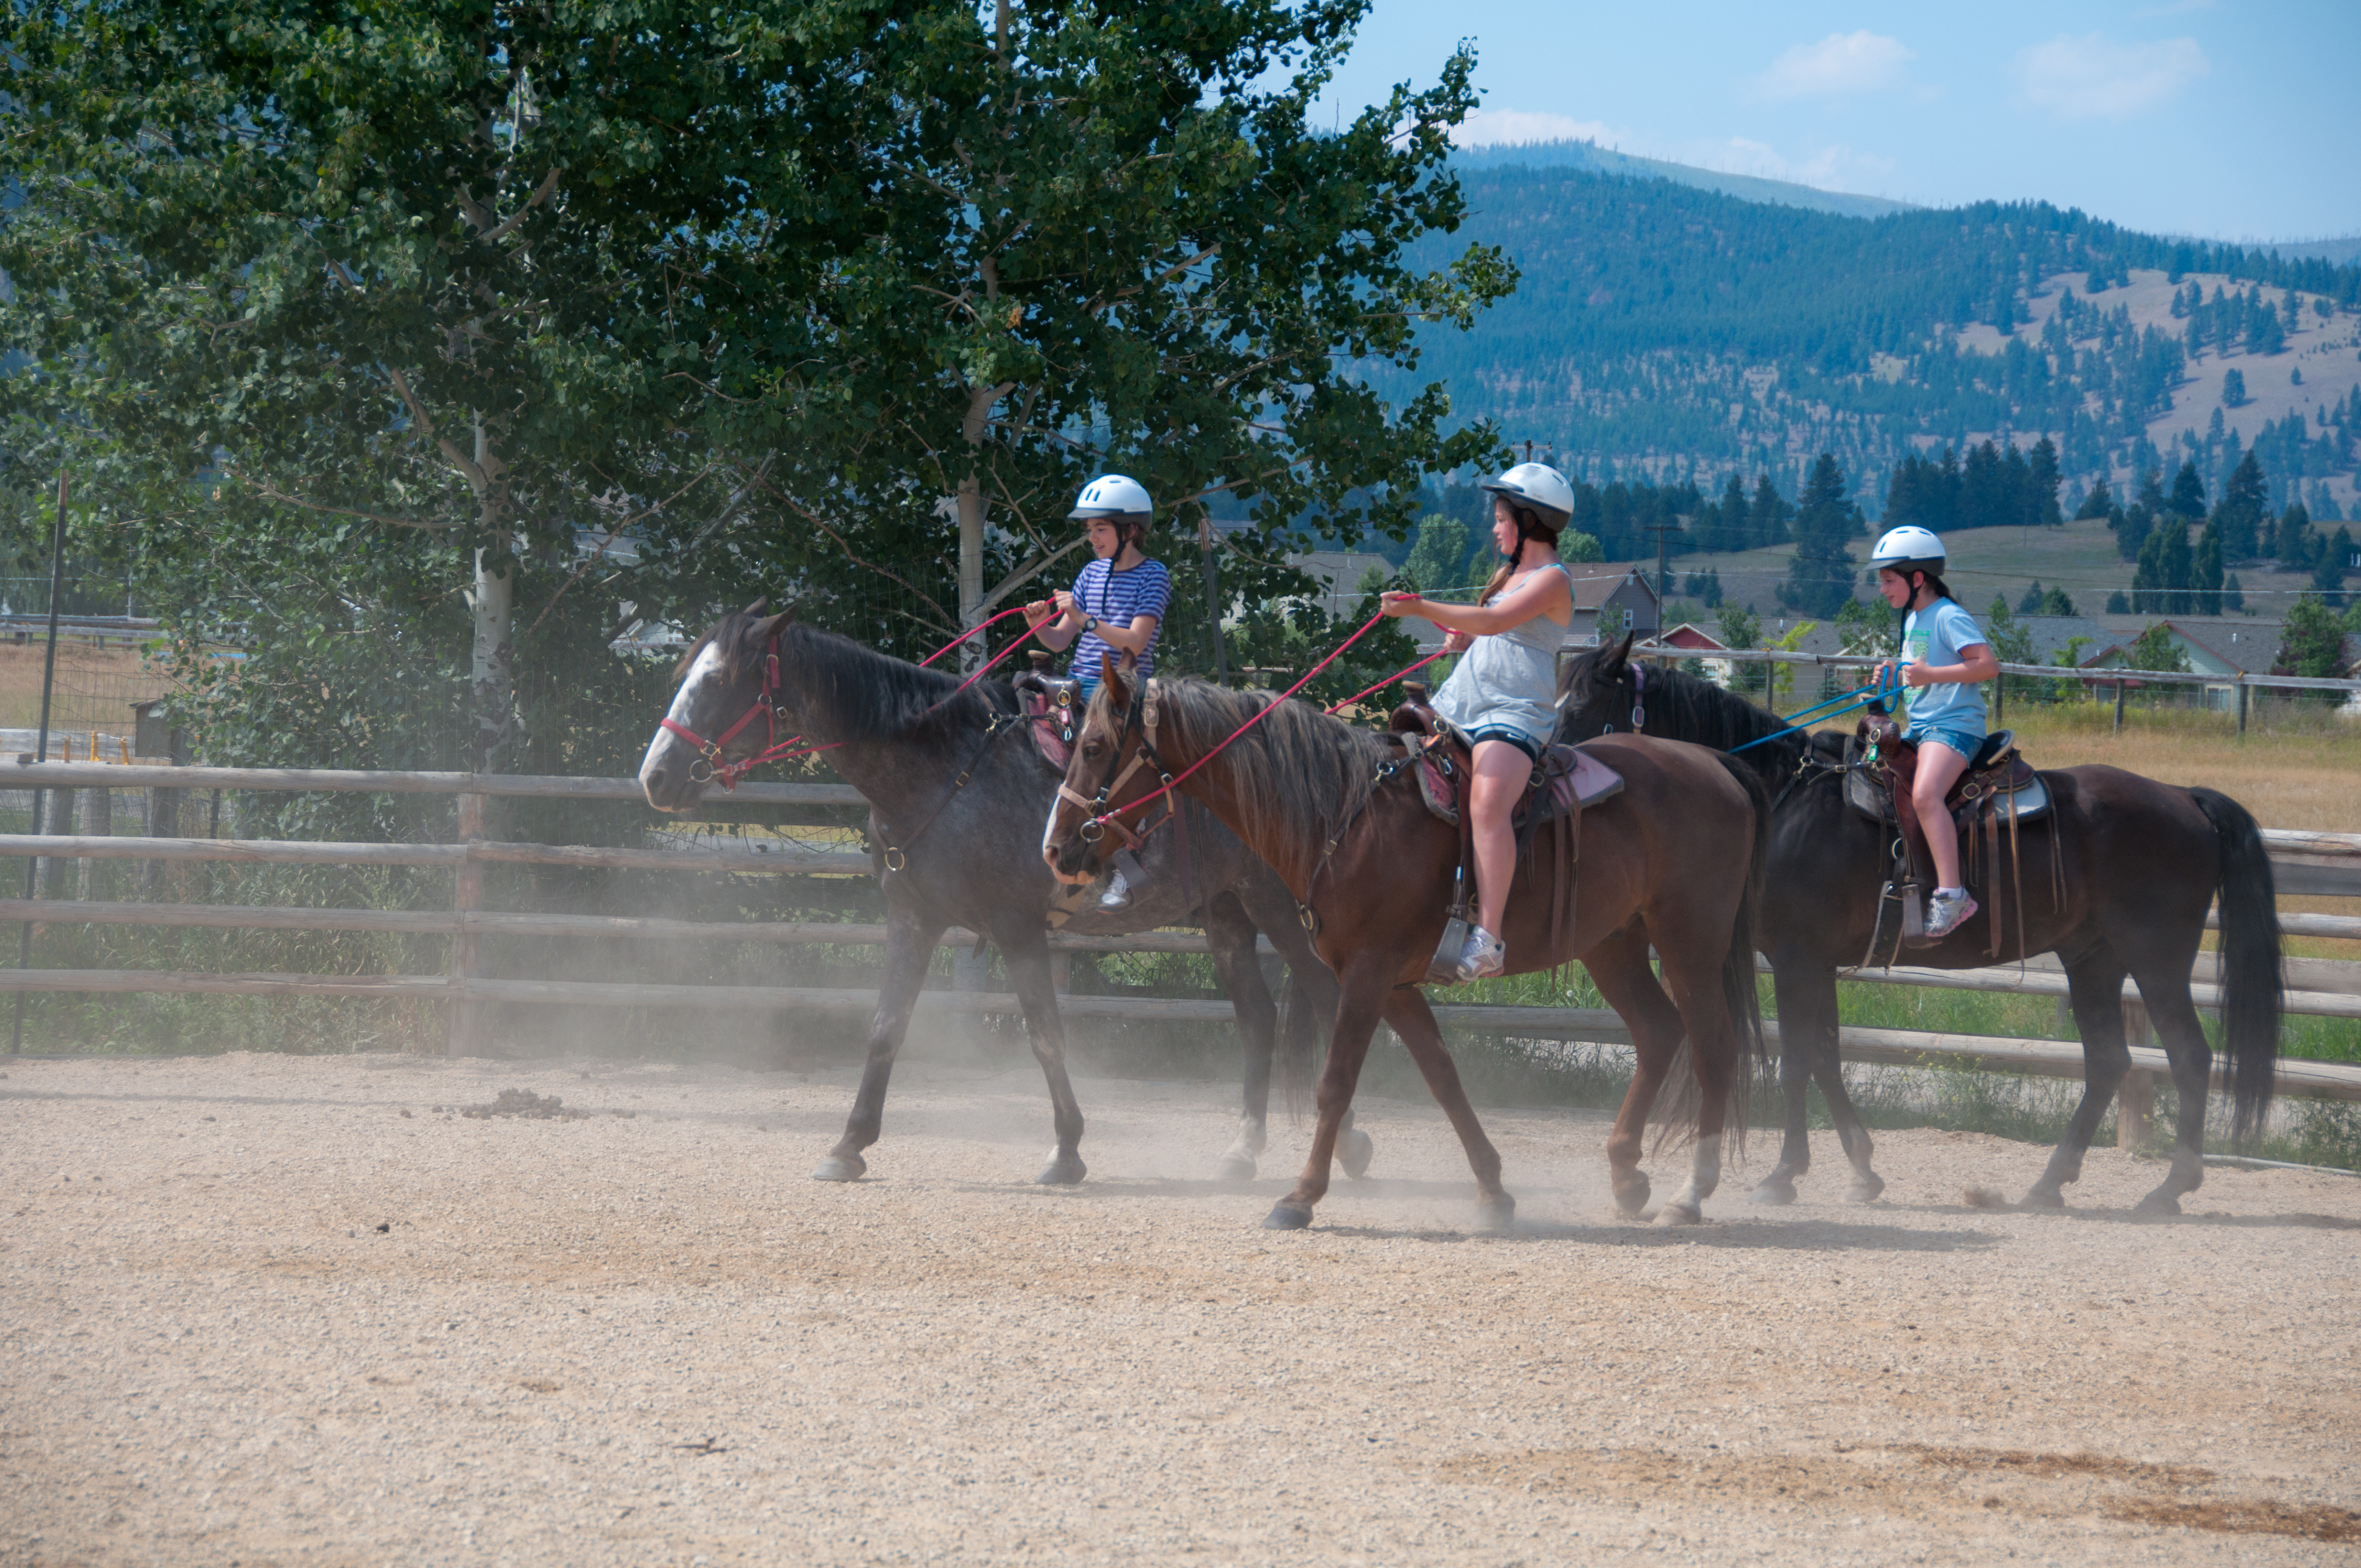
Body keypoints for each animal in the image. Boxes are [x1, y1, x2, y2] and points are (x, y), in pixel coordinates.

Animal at [637, 607, 1356, 1186]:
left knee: (1326, 999)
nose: (655, 777)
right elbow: (885, 1028)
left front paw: (1066, 1151)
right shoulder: (914, 918)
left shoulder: (1017, 928)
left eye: (719, 682)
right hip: (1226, 910)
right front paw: (848, 1145)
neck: (943, 771)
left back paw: (1351, 1147)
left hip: (1280, 909)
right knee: (1258, 1017)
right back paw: (1246, 1150)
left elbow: (1045, 1036)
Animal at [1041, 657, 1769, 1231]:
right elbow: (1443, 1078)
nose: (1057, 847)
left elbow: (1335, 1082)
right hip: (1613, 944)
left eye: (1097, 745)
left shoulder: (1367, 973)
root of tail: (1716, 765)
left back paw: (1690, 1192)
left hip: (1690, 940)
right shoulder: (1394, 983)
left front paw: (1300, 1196)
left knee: (1713, 1047)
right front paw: (1493, 1189)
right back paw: (1626, 1175)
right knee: (1657, 1033)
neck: (1341, 814)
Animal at [1557, 636, 2284, 1215]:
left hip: (2156, 958)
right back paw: (2048, 1184)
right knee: (2107, 1060)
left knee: (2188, 1056)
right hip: (2093, 959)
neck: (1786, 798)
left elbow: (1799, 1060)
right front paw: (1860, 1170)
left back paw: (2168, 1189)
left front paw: (1784, 1175)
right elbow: (1826, 1056)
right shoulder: (1818, 963)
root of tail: (2183, 798)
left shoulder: (1795, 958)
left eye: (1579, 702)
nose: (1554, 761)